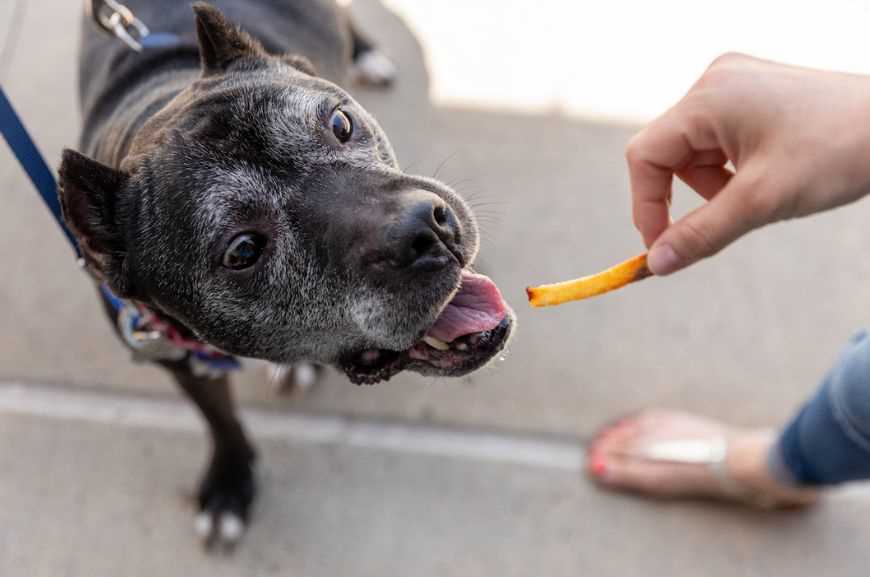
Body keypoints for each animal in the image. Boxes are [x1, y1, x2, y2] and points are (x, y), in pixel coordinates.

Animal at [59, 0, 516, 548]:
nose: (425, 228)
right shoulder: (181, 362)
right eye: (244, 250)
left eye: (340, 123)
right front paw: (229, 482)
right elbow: (220, 418)